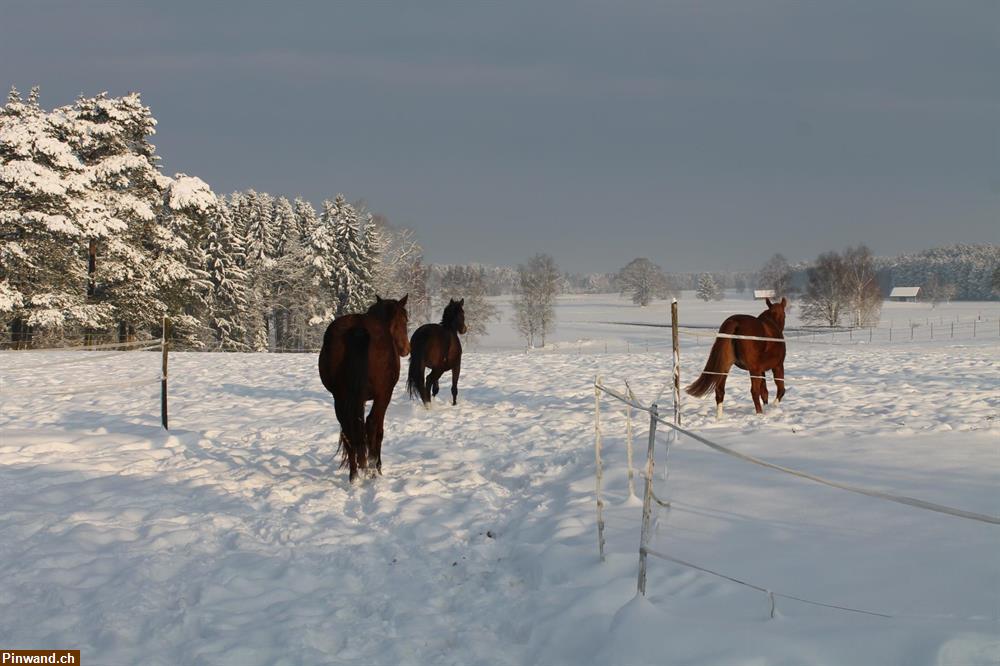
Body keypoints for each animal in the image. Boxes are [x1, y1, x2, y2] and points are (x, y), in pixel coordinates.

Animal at [318, 294, 408, 480]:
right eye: (405, 320)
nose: (406, 349)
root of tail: (357, 330)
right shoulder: (383, 394)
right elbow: (377, 429)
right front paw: (376, 466)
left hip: (341, 396)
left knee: (348, 428)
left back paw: (354, 475)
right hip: (381, 394)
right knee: (372, 423)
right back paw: (372, 469)